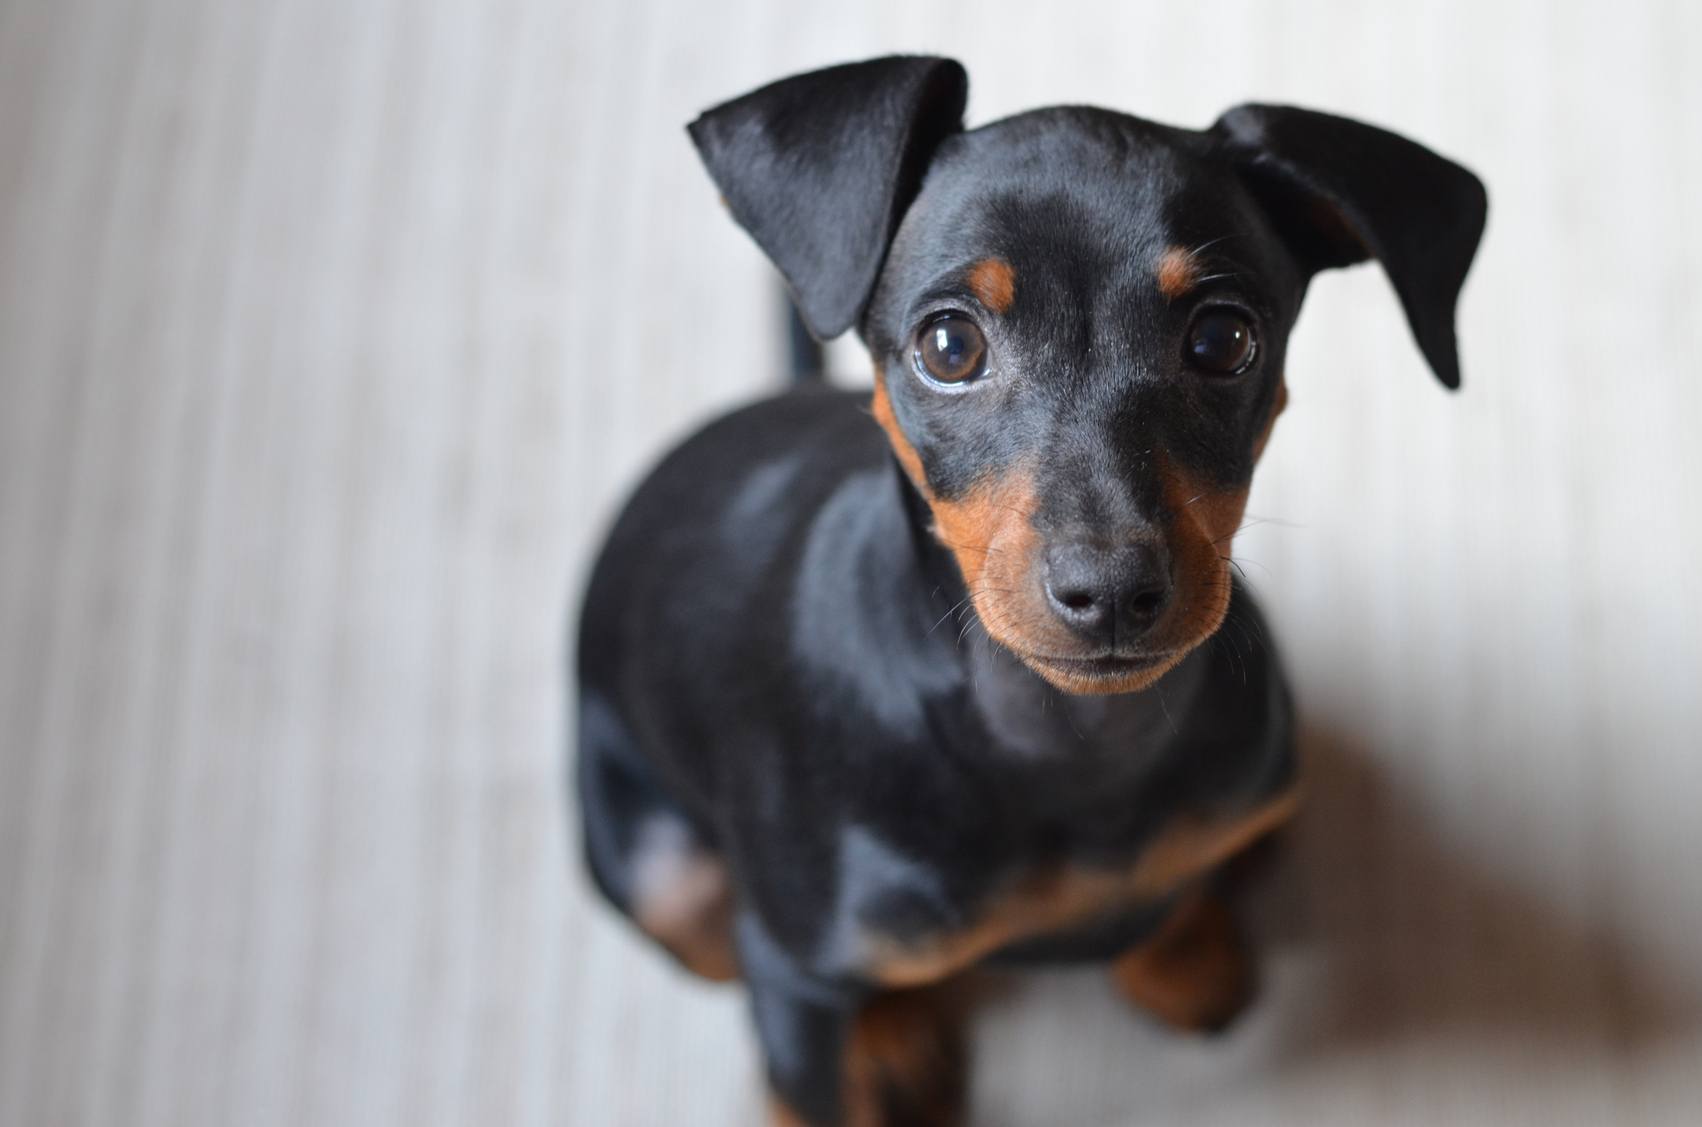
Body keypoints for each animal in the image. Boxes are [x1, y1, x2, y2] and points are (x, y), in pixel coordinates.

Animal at [571, 57, 1477, 1123]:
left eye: (1224, 339)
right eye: (949, 346)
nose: (1113, 590)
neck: (1069, 743)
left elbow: (1173, 886)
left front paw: (1180, 950)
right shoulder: (792, 980)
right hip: (669, 886)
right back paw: (893, 1037)